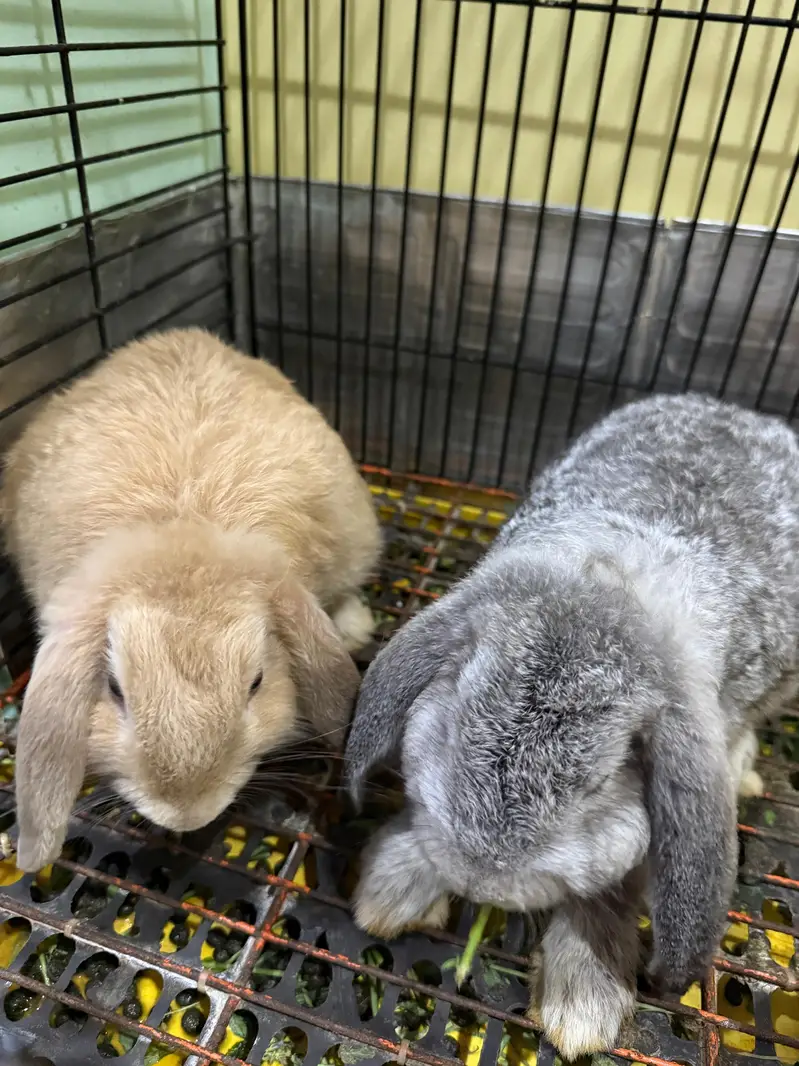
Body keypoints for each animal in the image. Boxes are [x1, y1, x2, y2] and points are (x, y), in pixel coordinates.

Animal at [344, 393, 799, 1059]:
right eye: (453, 726)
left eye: (599, 786)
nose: (483, 882)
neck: (605, 584)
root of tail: (740, 411)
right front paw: (393, 891)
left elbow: (609, 895)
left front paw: (584, 1007)